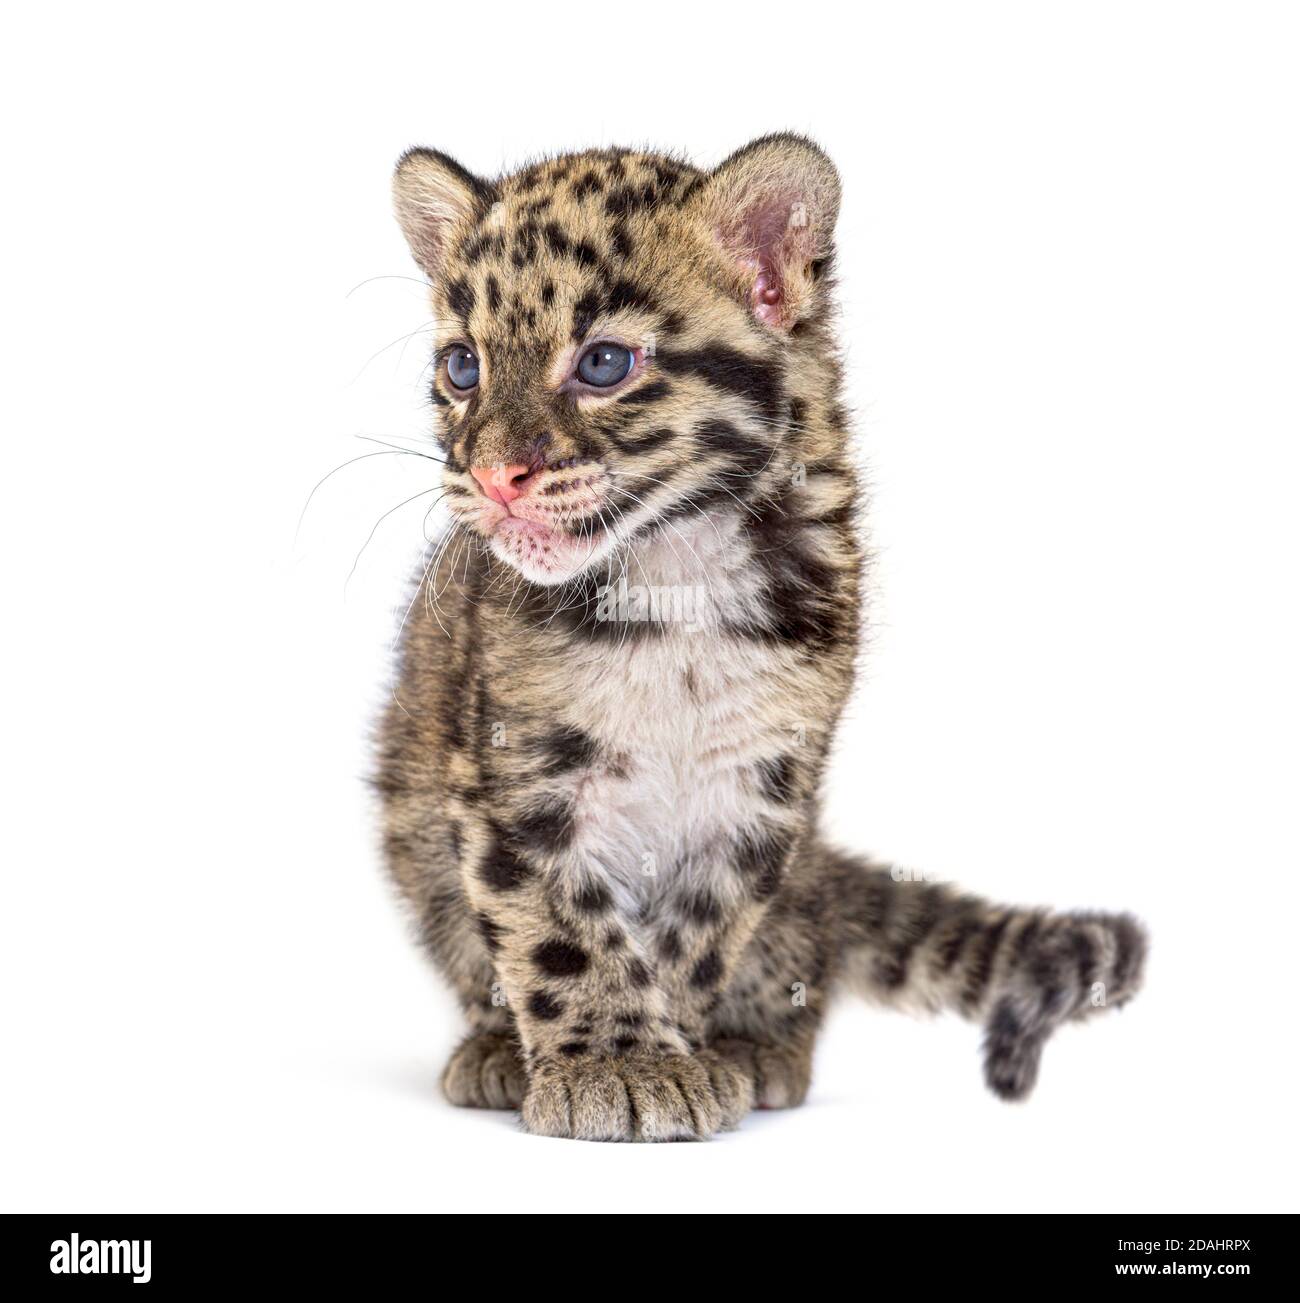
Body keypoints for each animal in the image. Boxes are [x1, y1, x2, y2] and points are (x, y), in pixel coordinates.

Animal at [376, 134, 1147, 1141]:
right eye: (463, 368)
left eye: (604, 362)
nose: (495, 475)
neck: (676, 569)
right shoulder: (517, 767)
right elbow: (556, 925)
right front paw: (612, 1058)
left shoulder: (759, 779)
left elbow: (695, 935)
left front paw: (666, 1051)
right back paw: (498, 1048)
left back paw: (755, 1045)